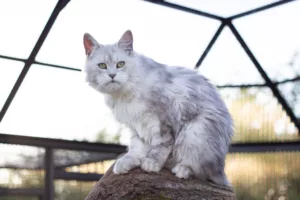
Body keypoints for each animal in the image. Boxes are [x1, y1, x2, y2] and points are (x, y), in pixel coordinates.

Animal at [83, 30, 233, 186]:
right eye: (102, 66)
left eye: (120, 64)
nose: (112, 75)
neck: (123, 94)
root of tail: (221, 170)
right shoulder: (136, 125)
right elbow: (137, 147)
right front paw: (129, 162)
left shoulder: (162, 118)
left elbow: (162, 145)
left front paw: (152, 163)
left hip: (194, 133)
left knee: (199, 169)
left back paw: (181, 170)